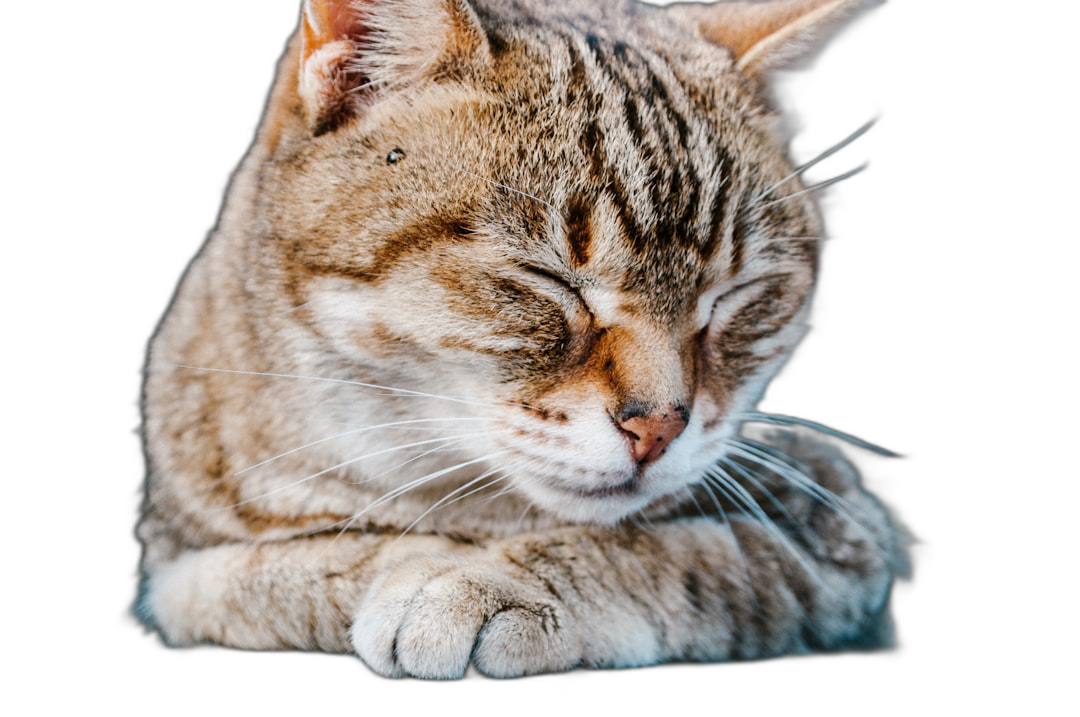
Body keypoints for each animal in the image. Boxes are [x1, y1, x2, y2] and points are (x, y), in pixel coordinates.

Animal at [139, 0, 907, 678]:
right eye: (549, 280)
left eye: (736, 296)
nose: (659, 427)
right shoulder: (180, 555)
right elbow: (261, 574)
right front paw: (409, 561)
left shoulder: (838, 531)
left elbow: (663, 553)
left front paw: (482, 581)